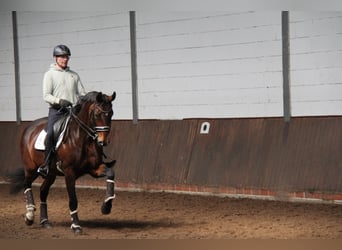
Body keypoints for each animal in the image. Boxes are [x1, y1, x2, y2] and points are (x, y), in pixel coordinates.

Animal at [8, 91, 117, 233]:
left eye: (111, 113)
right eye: (97, 114)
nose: (103, 141)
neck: (82, 138)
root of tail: (29, 127)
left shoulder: (95, 168)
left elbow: (110, 173)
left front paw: (106, 206)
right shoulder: (69, 172)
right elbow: (73, 200)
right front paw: (76, 225)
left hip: (51, 173)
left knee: (43, 191)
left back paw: (45, 221)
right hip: (31, 169)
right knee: (27, 184)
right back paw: (30, 215)